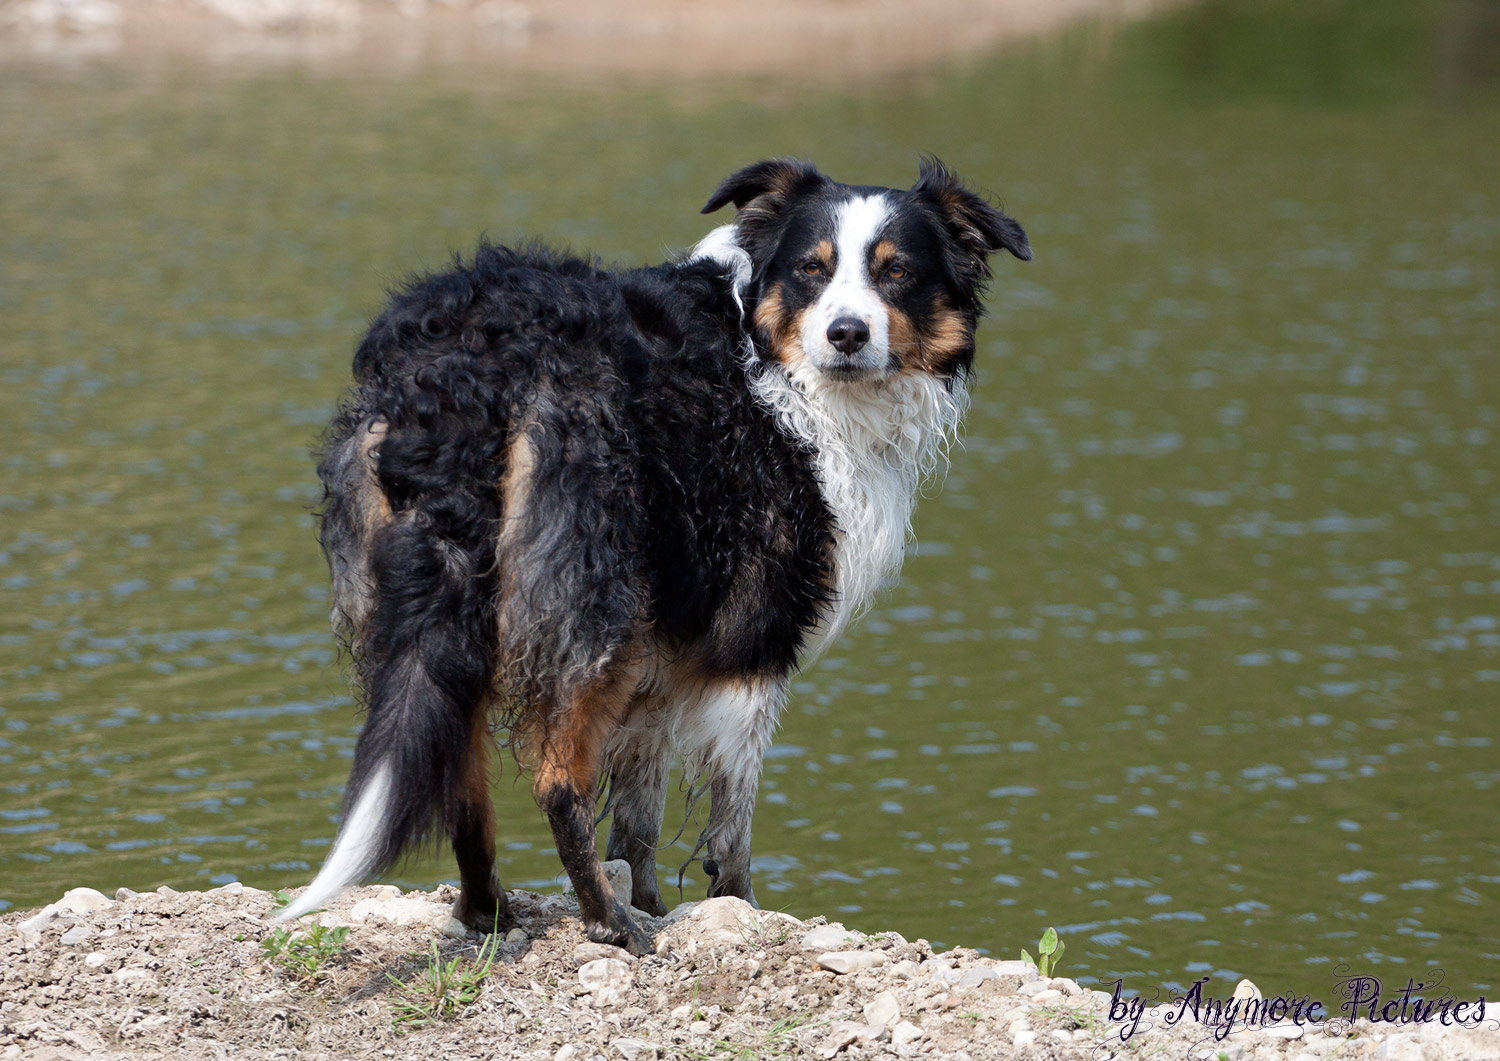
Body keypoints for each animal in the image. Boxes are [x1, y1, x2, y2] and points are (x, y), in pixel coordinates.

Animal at [279, 157, 1032, 954]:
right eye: (811, 269)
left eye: (897, 272)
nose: (847, 335)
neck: (769, 361)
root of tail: (469, 368)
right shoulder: (752, 637)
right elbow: (731, 814)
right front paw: (730, 907)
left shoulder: (661, 652)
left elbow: (639, 813)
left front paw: (649, 898)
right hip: (596, 606)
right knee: (558, 780)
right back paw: (607, 923)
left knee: (458, 769)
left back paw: (489, 912)